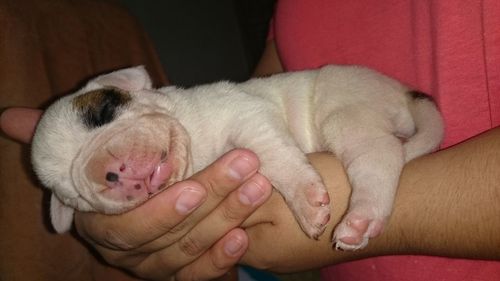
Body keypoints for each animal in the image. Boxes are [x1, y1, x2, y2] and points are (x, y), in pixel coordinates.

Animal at [31, 65, 444, 249]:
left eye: (102, 113)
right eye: (72, 194)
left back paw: (360, 219)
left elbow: (275, 155)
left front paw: (306, 203)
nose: (112, 172)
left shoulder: (245, 113)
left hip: (344, 113)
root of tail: (404, 93)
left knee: (380, 154)